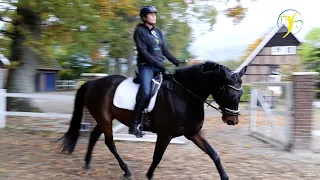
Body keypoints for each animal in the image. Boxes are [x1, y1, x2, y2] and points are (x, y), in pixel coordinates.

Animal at [58, 60, 248, 180]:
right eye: (227, 91)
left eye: (241, 93)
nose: (233, 120)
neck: (184, 96)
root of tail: (93, 83)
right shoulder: (165, 135)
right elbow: (157, 157)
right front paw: (149, 175)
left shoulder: (193, 133)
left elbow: (214, 154)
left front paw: (225, 176)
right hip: (105, 120)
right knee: (109, 143)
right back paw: (126, 171)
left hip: (104, 119)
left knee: (94, 136)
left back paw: (87, 164)